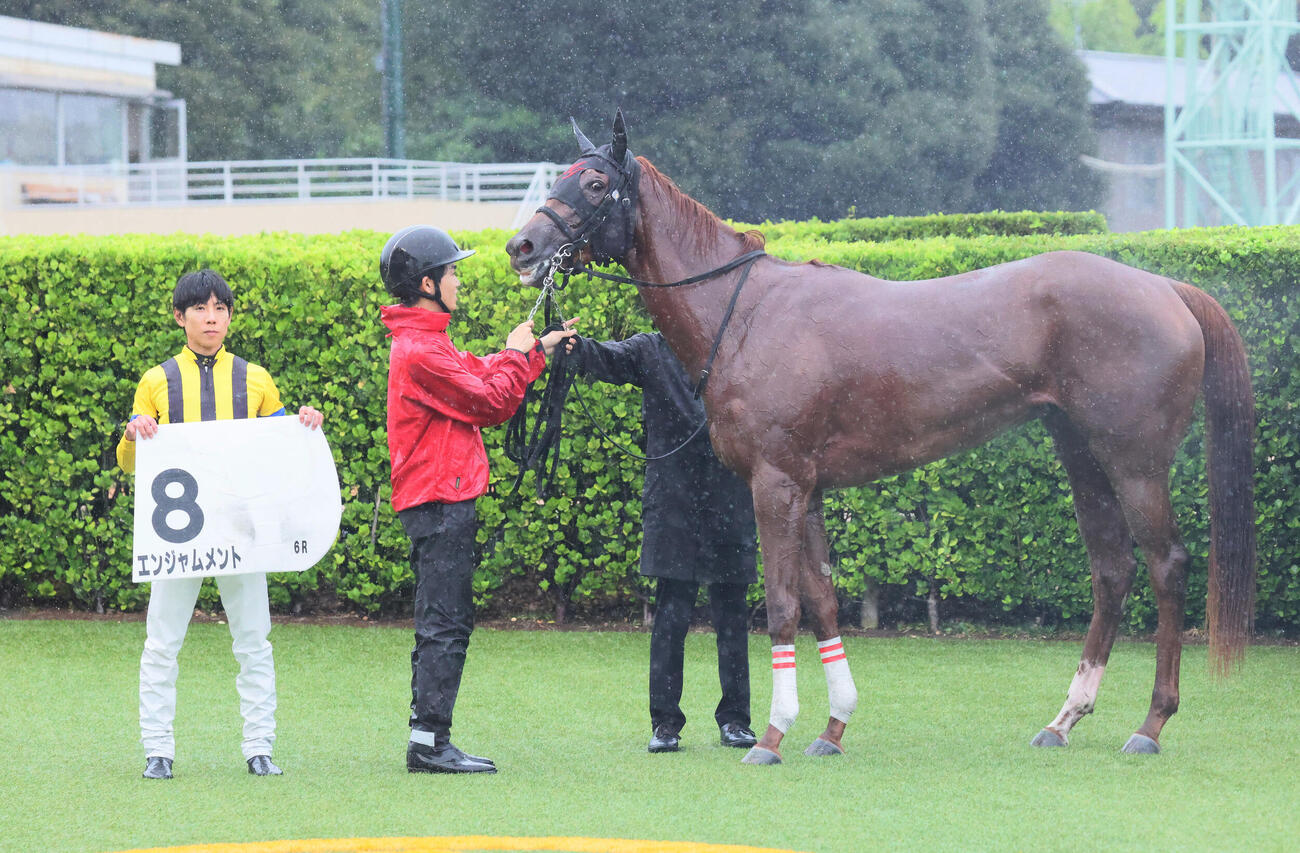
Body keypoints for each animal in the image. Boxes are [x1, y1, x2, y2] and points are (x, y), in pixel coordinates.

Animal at [505, 111, 1255, 764]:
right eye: (562, 175)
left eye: (594, 183)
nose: (522, 247)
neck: (745, 312)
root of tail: (1165, 287)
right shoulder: (805, 490)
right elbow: (823, 600)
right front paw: (831, 728)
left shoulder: (776, 484)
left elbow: (783, 606)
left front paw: (770, 737)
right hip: (1082, 456)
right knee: (1111, 569)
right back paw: (1064, 719)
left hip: (1135, 462)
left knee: (1166, 565)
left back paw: (1150, 723)